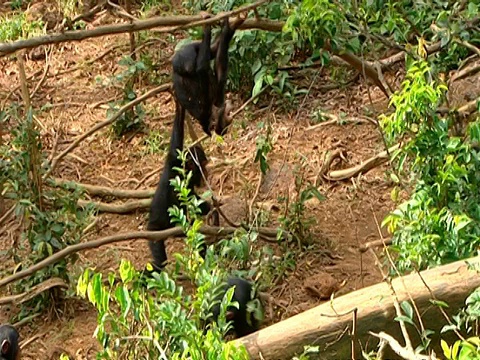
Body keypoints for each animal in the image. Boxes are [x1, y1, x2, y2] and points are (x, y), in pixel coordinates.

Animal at [146, 100, 212, 272]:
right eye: (202, 165)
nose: (206, 172)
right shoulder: (174, 162)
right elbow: (176, 137)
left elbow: (193, 199)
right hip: (154, 233)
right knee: (159, 261)